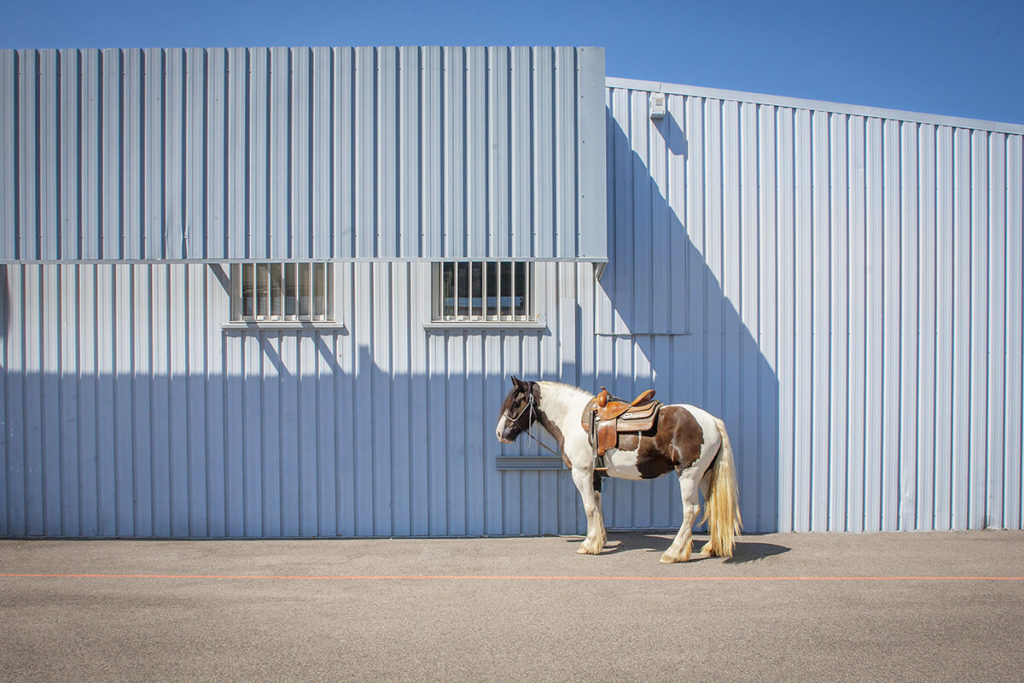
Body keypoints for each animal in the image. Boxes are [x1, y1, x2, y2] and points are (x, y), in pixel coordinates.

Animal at [493, 376, 741, 565]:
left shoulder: (582, 473)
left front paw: (589, 544)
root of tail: (712, 421)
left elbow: (589, 507)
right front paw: (600, 539)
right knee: (710, 505)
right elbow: (598, 506)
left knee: (691, 510)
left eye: (516, 402)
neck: (572, 418)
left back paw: (674, 552)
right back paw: (711, 547)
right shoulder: (594, 475)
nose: (499, 433)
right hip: (706, 475)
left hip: (688, 475)